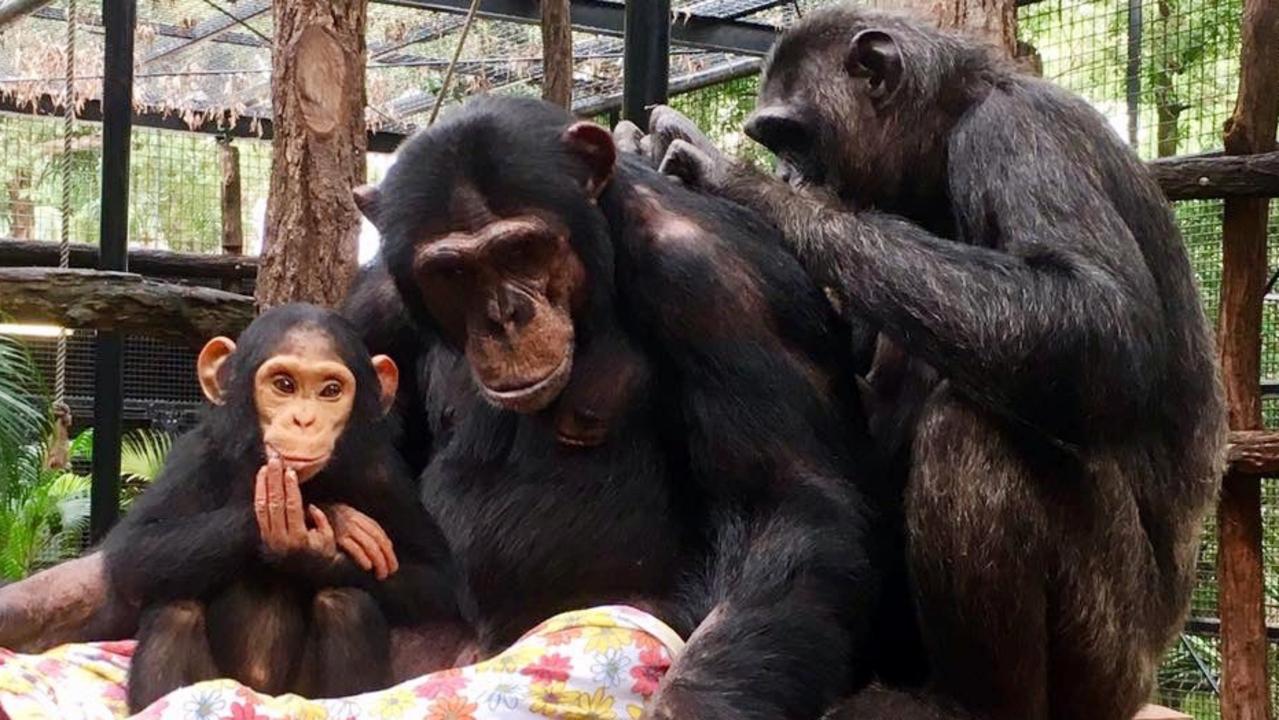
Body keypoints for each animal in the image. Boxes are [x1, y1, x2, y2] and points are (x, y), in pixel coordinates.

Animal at [103, 303, 465, 711]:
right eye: (284, 385)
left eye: (331, 390)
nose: (303, 420)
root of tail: (262, 694)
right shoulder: (195, 454)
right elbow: (135, 551)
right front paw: (330, 515)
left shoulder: (383, 474)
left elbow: (436, 579)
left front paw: (309, 548)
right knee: (173, 610)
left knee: (347, 604)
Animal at [340, 97, 895, 720]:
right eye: (452, 272)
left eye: (521, 249)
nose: (504, 316)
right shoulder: (373, 303)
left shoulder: (716, 283)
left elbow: (786, 497)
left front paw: (690, 704)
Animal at [649, 5, 1227, 720]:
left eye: (791, 139)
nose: (785, 175)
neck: (946, 127)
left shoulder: (1015, 135)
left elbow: (1097, 318)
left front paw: (735, 181)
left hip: (1106, 669)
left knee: (970, 431)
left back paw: (964, 705)